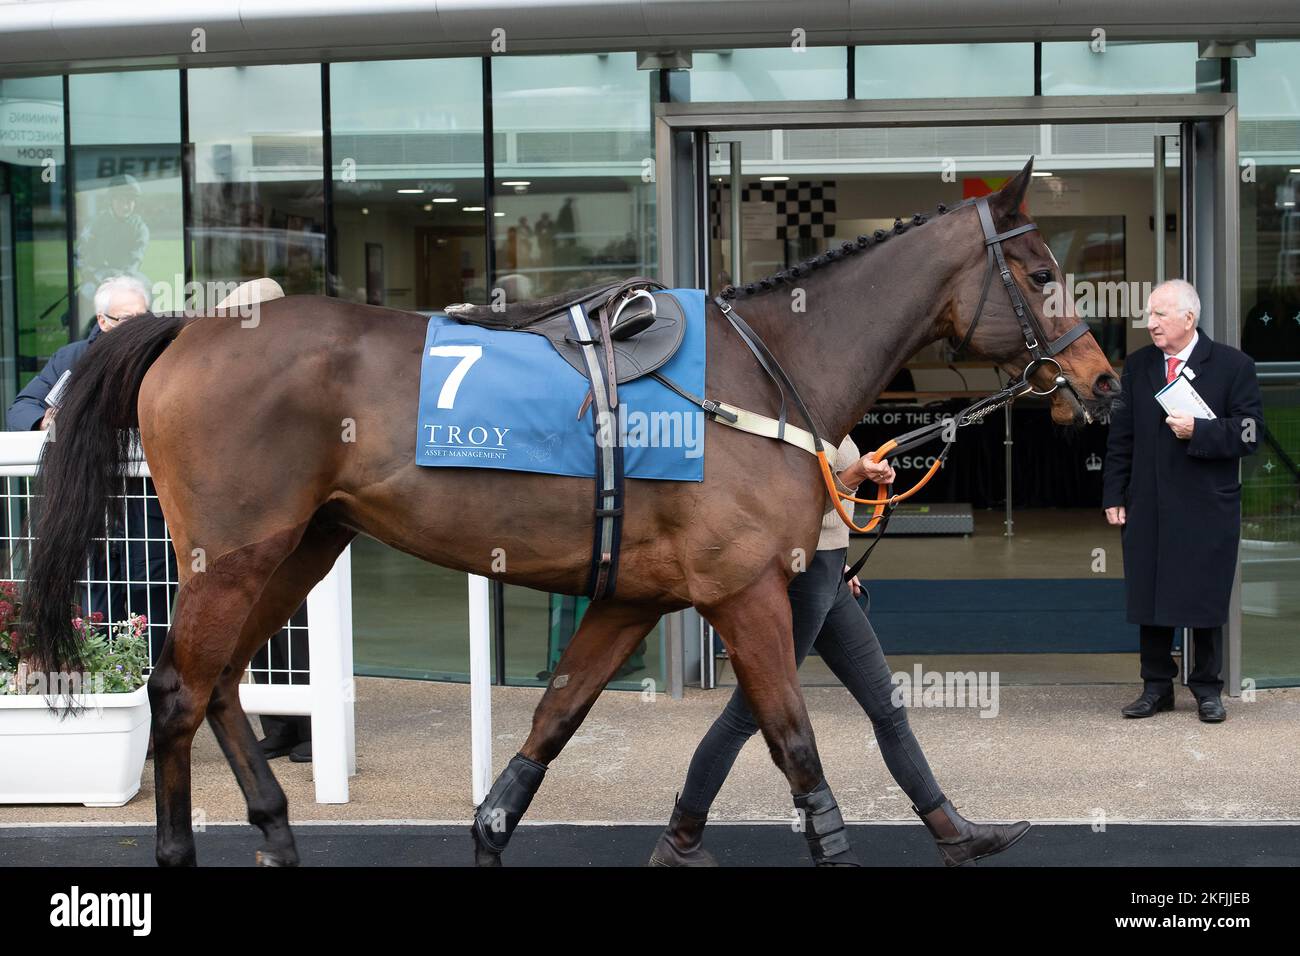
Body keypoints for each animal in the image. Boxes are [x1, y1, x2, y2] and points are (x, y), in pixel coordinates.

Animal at [20, 158, 1118, 868]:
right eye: (1038, 273)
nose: (1102, 381)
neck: (759, 371)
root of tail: (188, 329)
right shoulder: (743, 591)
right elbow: (793, 739)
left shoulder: (633, 595)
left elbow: (554, 719)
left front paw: (495, 825)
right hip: (236, 548)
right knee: (177, 687)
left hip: (304, 543)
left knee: (221, 686)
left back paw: (281, 832)